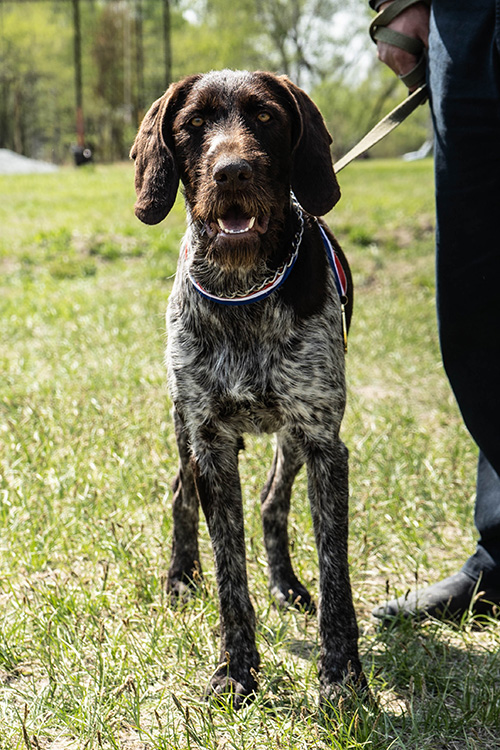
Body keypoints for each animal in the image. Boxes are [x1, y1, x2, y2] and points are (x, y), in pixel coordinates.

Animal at [129, 67, 364, 708]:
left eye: (264, 117)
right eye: (193, 124)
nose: (232, 171)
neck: (243, 289)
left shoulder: (323, 440)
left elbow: (335, 571)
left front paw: (342, 674)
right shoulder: (208, 441)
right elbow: (229, 569)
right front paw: (236, 668)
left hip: (293, 439)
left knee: (272, 501)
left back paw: (286, 584)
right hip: (184, 430)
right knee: (180, 495)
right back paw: (179, 577)